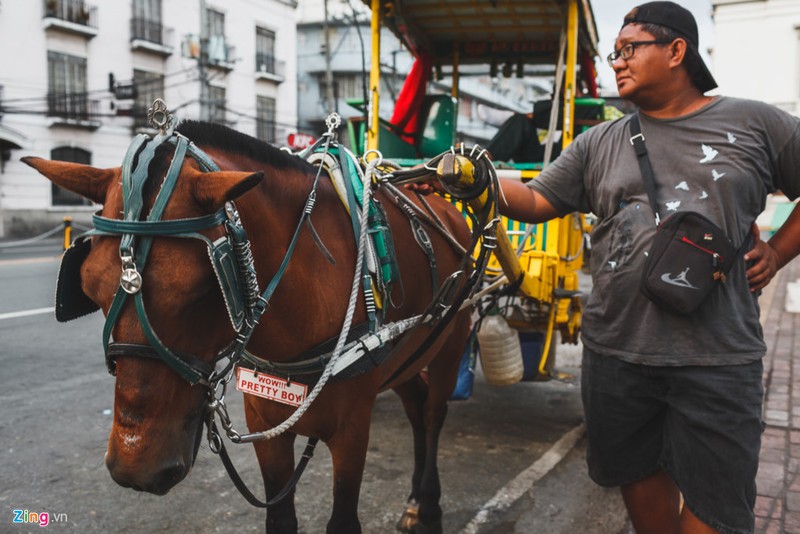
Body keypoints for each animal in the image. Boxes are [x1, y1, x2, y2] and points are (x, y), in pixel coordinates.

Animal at [23, 118, 476, 534]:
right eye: (88, 286)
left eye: (204, 289)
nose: (136, 468)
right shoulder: (264, 422)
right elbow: (280, 517)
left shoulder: (352, 429)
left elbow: (344, 520)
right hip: (407, 353)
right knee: (415, 405)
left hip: (451, 338)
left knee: (432, 413)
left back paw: (427, 504)